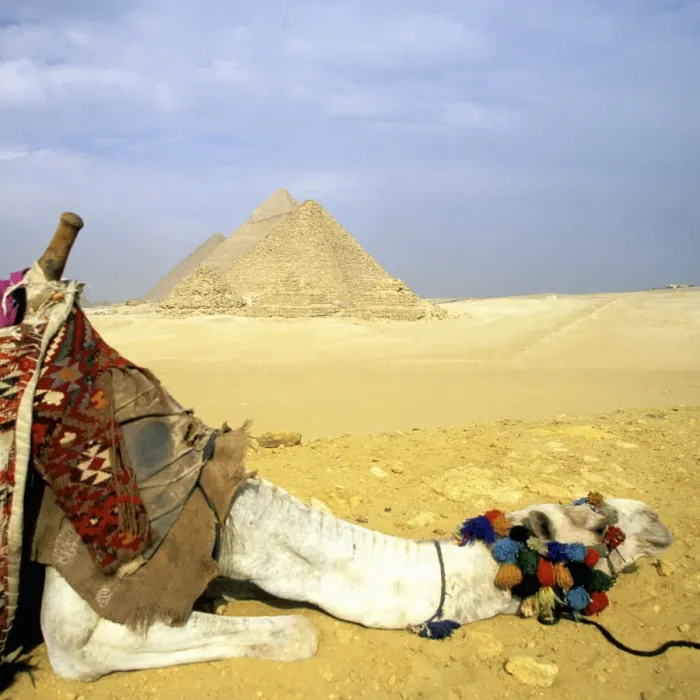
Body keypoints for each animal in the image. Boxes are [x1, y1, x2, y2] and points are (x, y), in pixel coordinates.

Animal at [2, 215, 674, 683]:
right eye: (597, 523)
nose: (657, 520)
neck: (224, 514)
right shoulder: (76, 629)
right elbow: (299, 630)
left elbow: (294, 626)